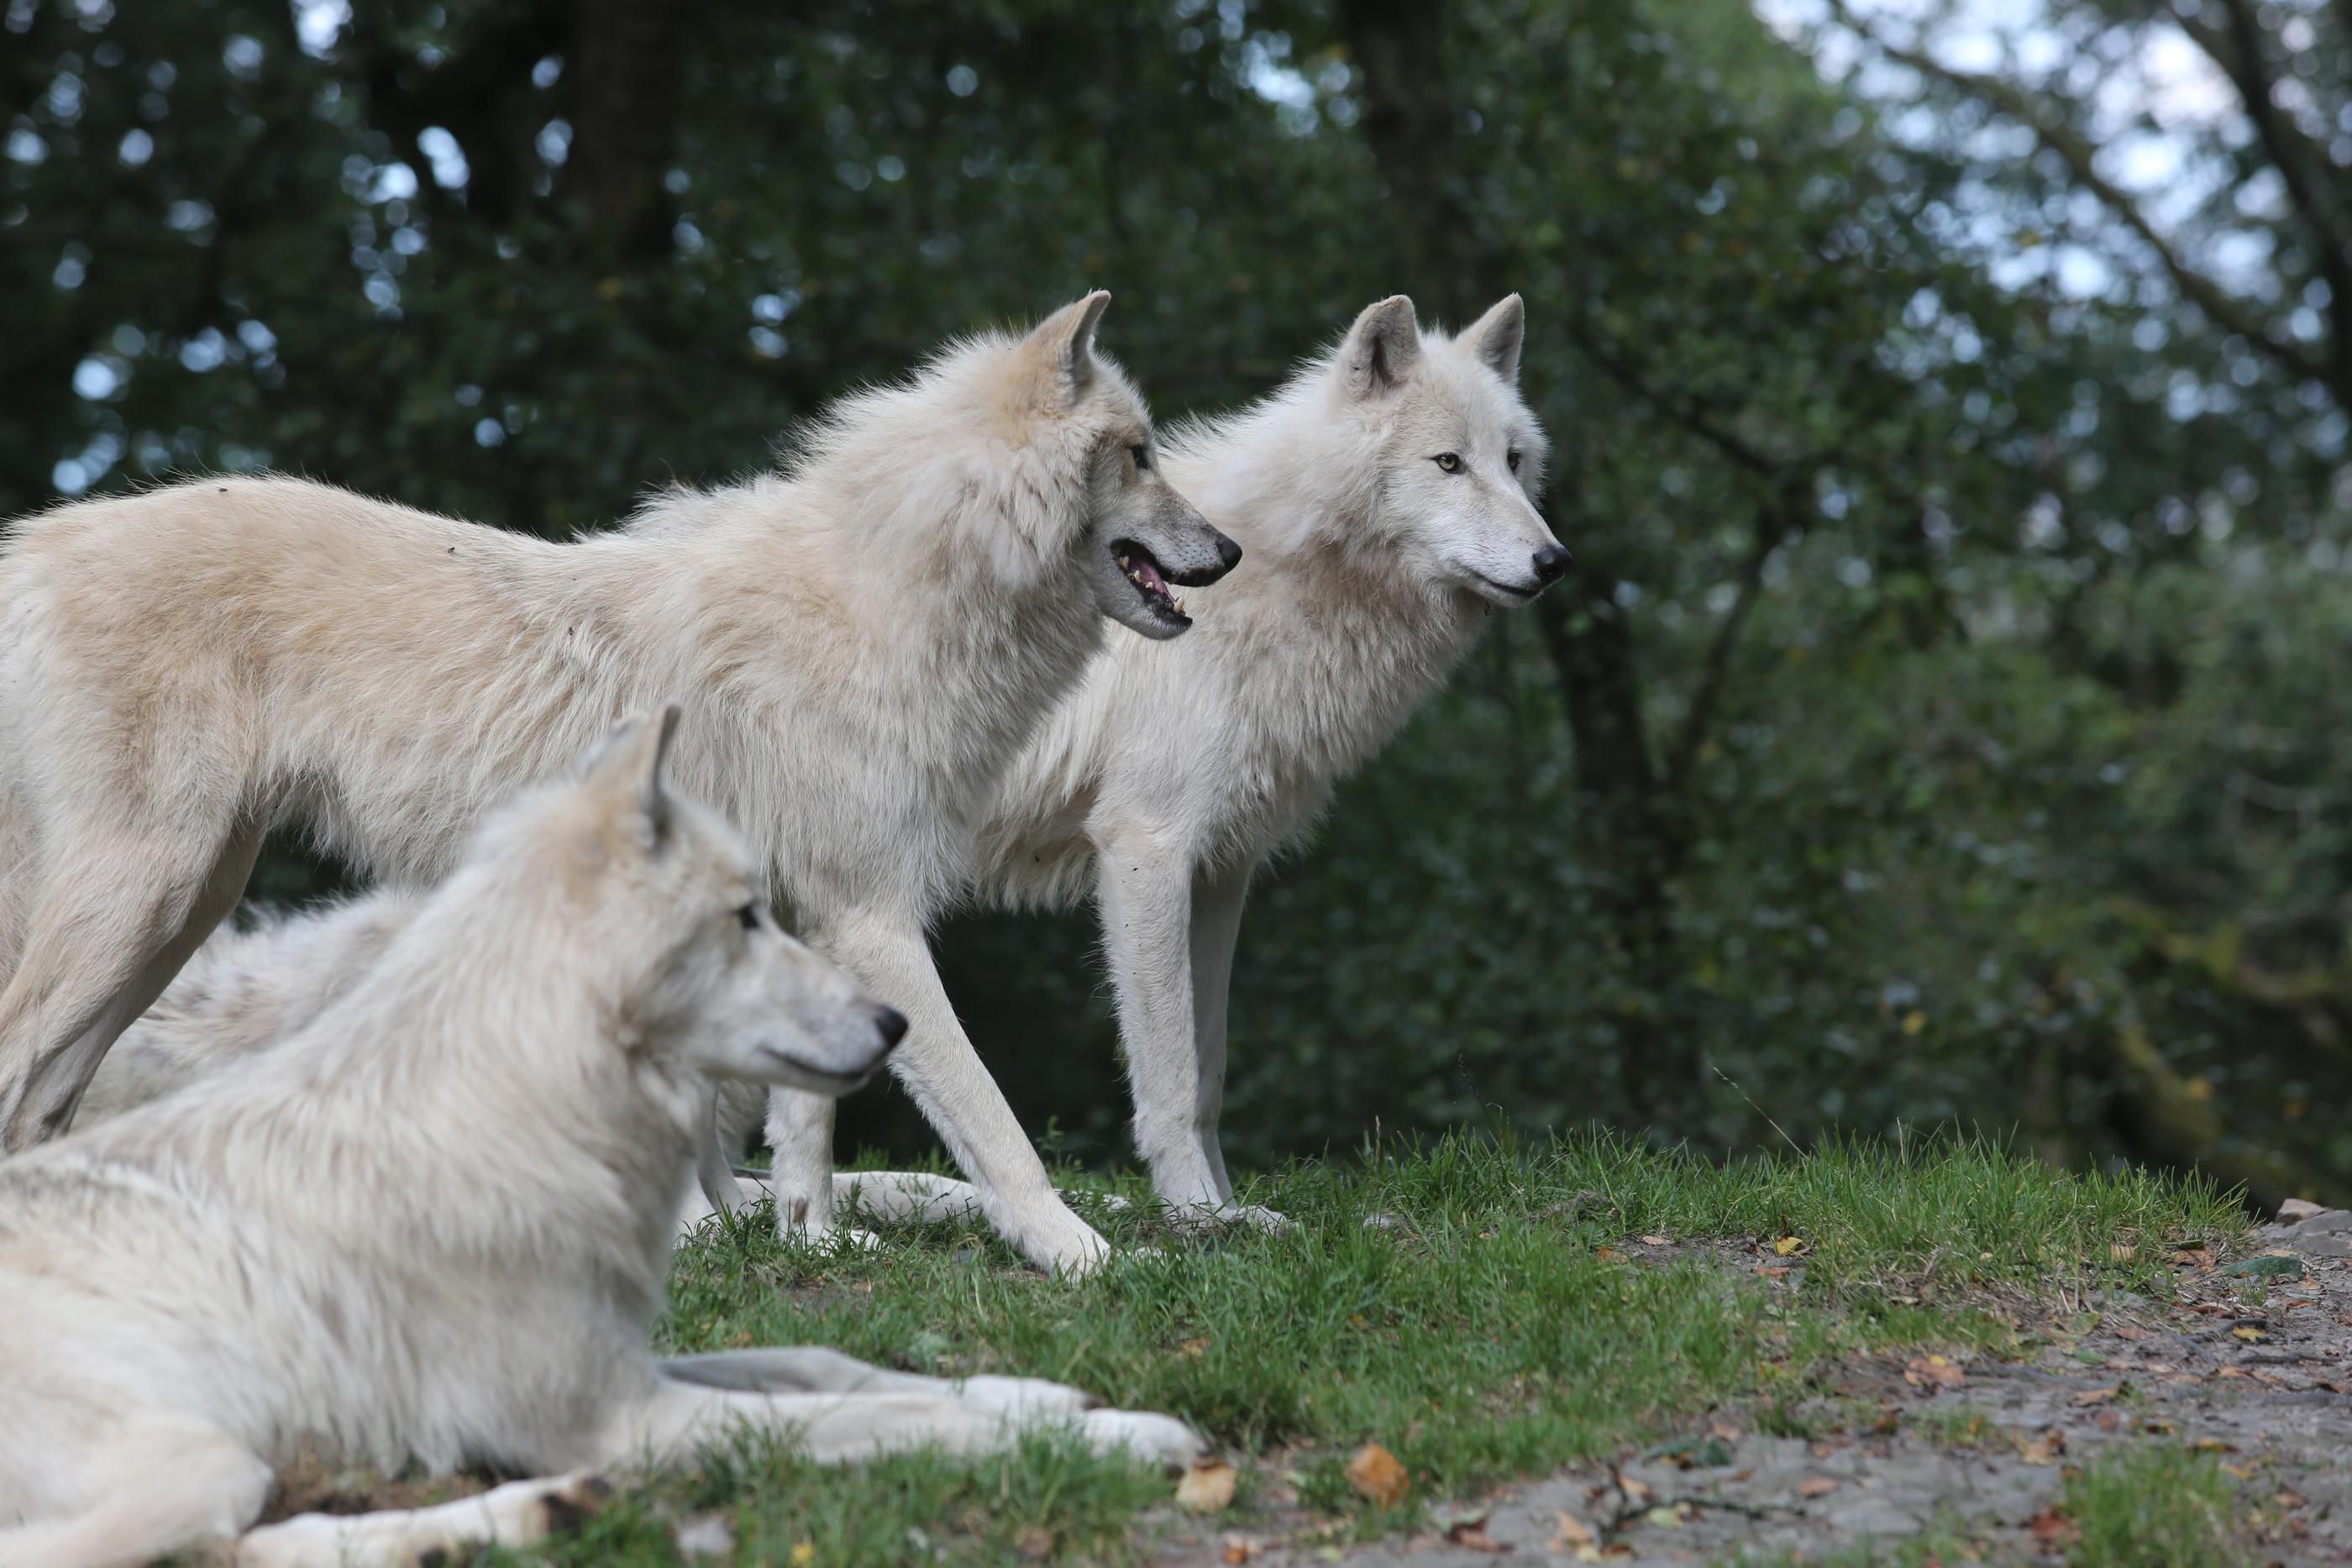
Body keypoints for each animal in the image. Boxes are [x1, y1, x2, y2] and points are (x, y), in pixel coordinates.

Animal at [0, 710, 1204, 1568]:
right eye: (745, 918)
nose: (890, 1022)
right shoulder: (619, 1413)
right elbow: (900, 1417)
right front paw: (1117, 1436)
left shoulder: (624, 1349)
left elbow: (842, 1347)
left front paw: (1048, 1384)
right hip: (196, 1457)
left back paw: (517, 1517)